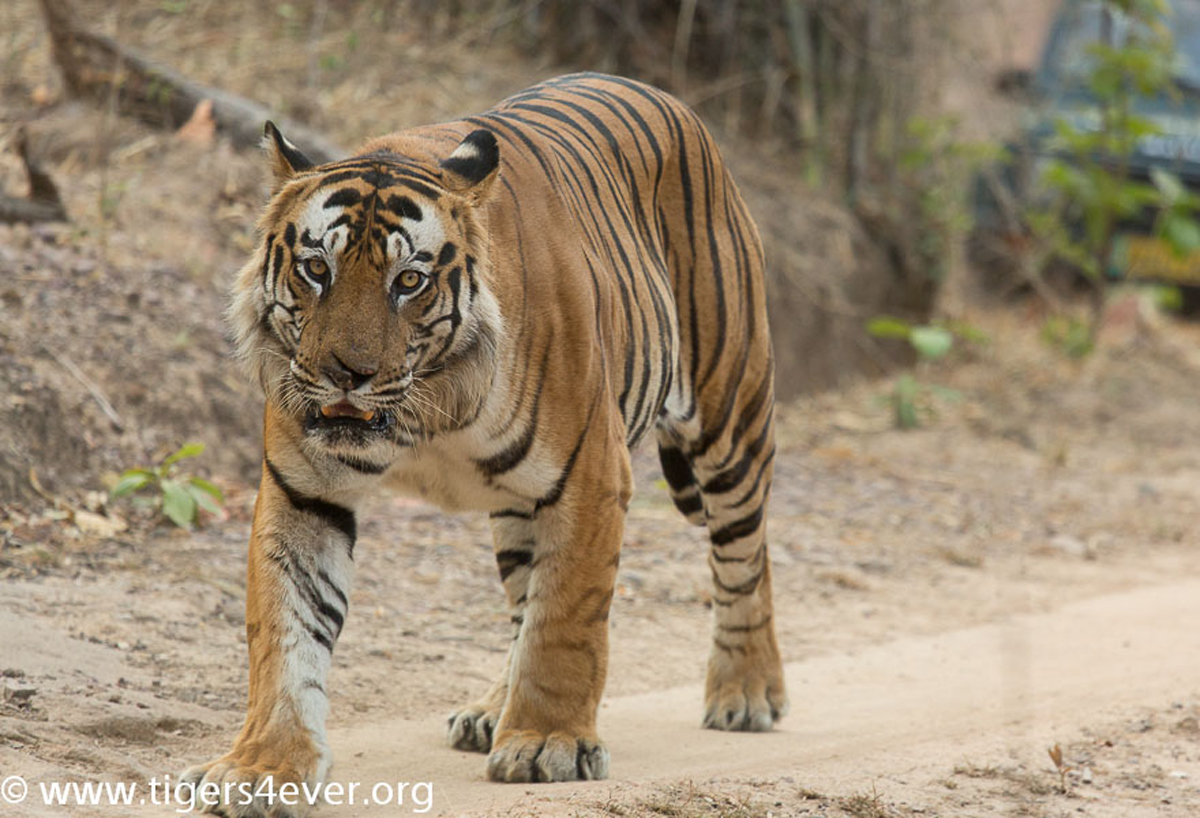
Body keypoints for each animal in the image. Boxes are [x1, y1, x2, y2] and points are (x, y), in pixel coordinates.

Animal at [183, 72, 786, 811]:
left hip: (730, 419)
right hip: (519, 507)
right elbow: (285, 633)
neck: (427, 410)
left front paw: (549, 743)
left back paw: (746, 692)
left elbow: (568, 619)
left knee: (745, 556)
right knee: (526, 598)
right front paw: (262, 767)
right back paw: (493, 710)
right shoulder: (303, 491)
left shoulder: (592, 475)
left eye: (408, 281)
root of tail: (666, 99)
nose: (347, 374)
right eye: (316, 269)